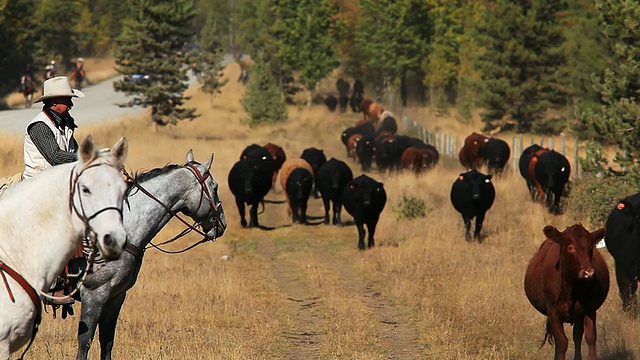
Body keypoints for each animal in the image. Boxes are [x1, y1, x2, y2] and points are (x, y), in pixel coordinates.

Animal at [75, 150, 226, 360]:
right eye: (215, 187)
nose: (223, 224)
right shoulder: (94, 295)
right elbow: (85, 343)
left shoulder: (116, 296)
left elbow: (107, 341)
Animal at [524, 224, 608, 360]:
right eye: (570, 247)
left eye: (591, 247)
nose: (588, 272)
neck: (570, 288)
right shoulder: (553, 312)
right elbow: (562, 342)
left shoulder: (589, 309)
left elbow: (590, 337)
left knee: (577, 337)